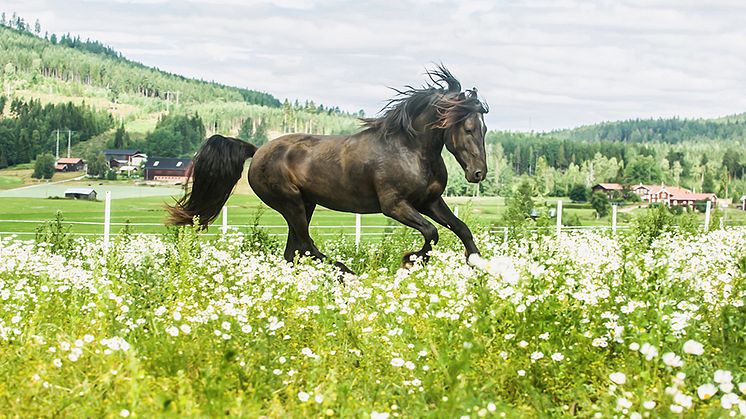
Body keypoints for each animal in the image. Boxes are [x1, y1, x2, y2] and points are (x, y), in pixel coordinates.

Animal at [171, 66, 492, 274]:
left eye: (484, 129)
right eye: (468, 128)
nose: (478, 173)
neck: (410, 149)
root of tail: (258, 150)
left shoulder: (430, 201)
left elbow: (460, 228)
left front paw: (480, 266)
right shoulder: (395, 206)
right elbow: (431, 232)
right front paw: (409, 261)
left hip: (306, 204)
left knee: (293, 251)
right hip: (290, 203)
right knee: (304, 246)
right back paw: (345, 271)